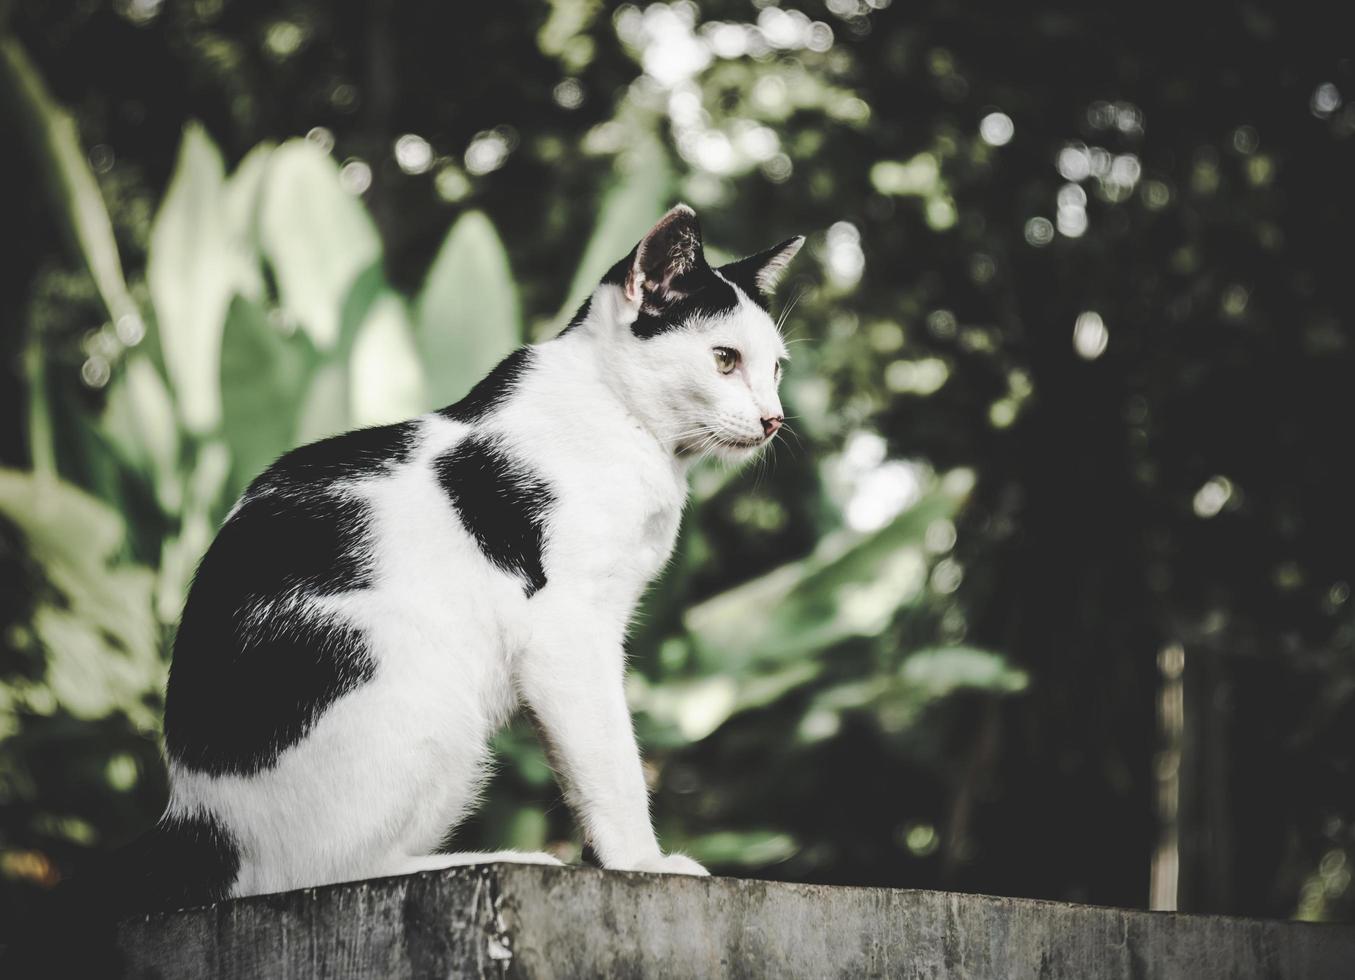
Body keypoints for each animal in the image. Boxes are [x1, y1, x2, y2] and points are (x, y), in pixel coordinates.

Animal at [140, 203, 802, 910]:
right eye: (724, 359)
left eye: (775, 368)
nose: (773, 419)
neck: (620, 419)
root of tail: (196, 820)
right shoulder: (566, 631)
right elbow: (612, 762)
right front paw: (642, 865)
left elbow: (580, 769)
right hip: (423, 684)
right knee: (317, 873)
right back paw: (497, 859)